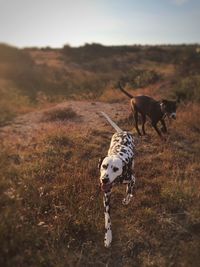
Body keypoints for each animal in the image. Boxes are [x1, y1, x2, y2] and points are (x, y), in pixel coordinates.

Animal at [99, 112, 136, 248]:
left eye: (115, 169)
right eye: (104, 166)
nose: (104, 179)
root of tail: (122, 132)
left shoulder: (132, 179)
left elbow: (130, 191)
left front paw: (127, 199)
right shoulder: (106, 196)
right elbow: (107, 219)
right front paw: (108, 236)